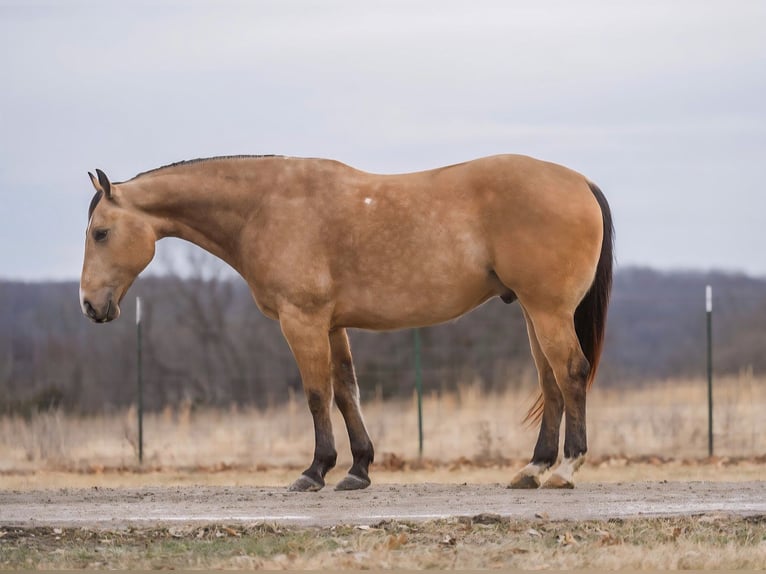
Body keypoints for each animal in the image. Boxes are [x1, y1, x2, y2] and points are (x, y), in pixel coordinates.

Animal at [80, 154, 613, 491]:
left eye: (100, 233)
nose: (89, 305)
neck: (266, 206)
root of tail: (580, 181)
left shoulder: (302, 321)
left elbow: (317, 395)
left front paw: (315, 471)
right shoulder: (332, 326)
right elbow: (346, 393)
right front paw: (358, 470)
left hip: (547, 310)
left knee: (570, 373)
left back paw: (565, 469)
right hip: (532, 312)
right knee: (549, 382)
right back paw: (534, 469)